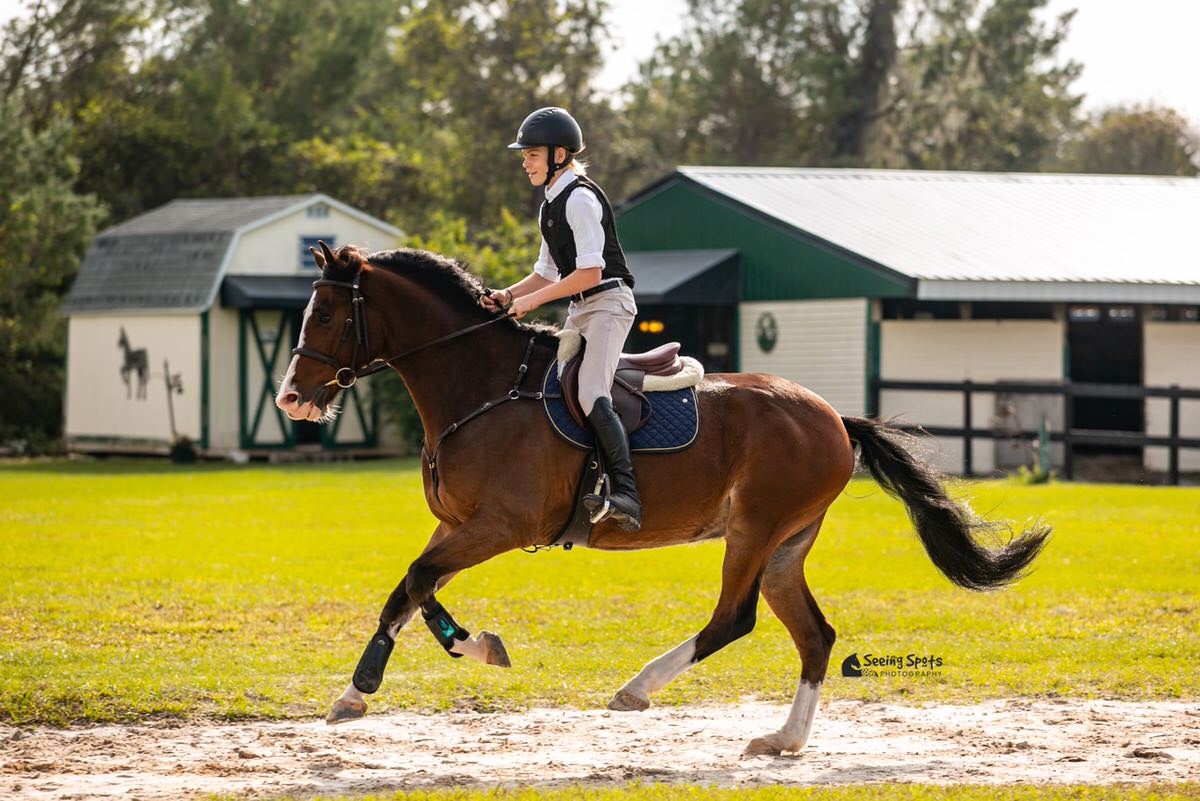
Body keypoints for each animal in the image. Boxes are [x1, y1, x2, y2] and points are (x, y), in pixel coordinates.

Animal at [276, 241, 1046, 753]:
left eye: (327, 317)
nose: (290, 398)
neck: (480, 386)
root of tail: (833, 415)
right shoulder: (462, 524)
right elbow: (410, 588)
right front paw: (371, 685)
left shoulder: (499, 524)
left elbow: (415, 581)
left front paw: (429, 661)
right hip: (785, 544)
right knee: (814, 634)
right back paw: (784, 740)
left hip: (755, 528)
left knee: (733, 619)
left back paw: (638, 688)